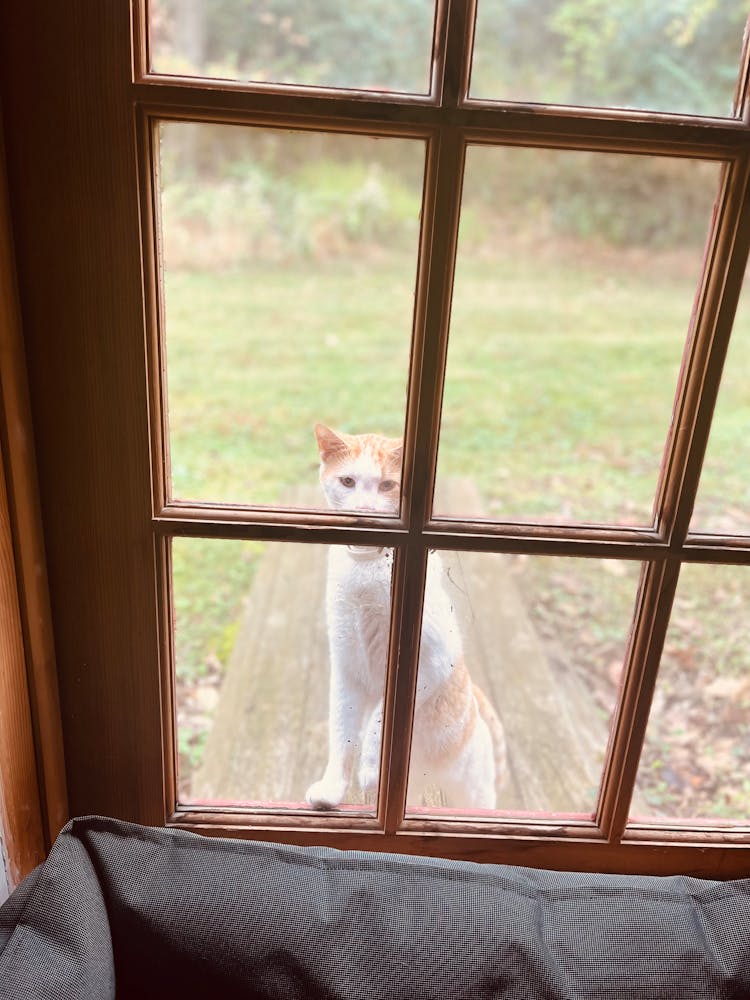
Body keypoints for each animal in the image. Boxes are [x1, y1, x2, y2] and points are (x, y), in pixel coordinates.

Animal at [306, 422, 512, 812]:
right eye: (348, 482)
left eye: (388, 485)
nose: (366, 509)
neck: (366, 569)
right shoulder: (346, 668)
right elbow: (342, 735)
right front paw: (332, 789)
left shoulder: (431, 660)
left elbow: (378, 718)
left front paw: (372, 768)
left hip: (473, 790)